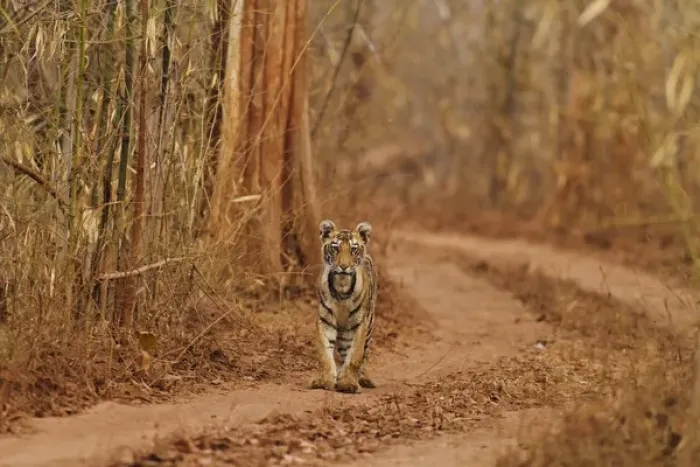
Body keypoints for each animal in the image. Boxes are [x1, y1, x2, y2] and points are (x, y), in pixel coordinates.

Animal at [310, 219, 378, 393]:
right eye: (335, 248)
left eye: (353, 249)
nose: (344, 266)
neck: (342, 287)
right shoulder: (325, 321)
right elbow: (325, 354)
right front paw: (325, 380)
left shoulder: (360, 324)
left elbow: (355, 356)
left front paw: (348, 383)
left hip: (367, 326)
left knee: (362, 355)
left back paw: (361, 378)